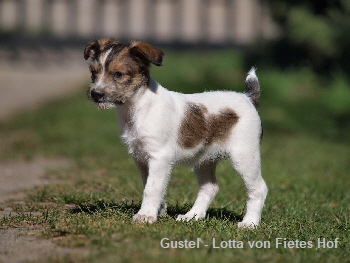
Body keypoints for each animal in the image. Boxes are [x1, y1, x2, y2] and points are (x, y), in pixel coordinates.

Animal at [84, 38, 268, 229]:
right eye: (93, 72)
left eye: (118, 74)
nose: (95, 94)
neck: (139, 106)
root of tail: (248, 97)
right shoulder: (140, 157)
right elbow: (149, 183)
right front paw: (159, 210)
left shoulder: (159, 157)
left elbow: (152, 187)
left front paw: (146, 215)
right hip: (204, 159)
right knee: (209, 187)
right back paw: (193, 216)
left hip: (244, 156)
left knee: (258, 188)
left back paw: (250, 223)